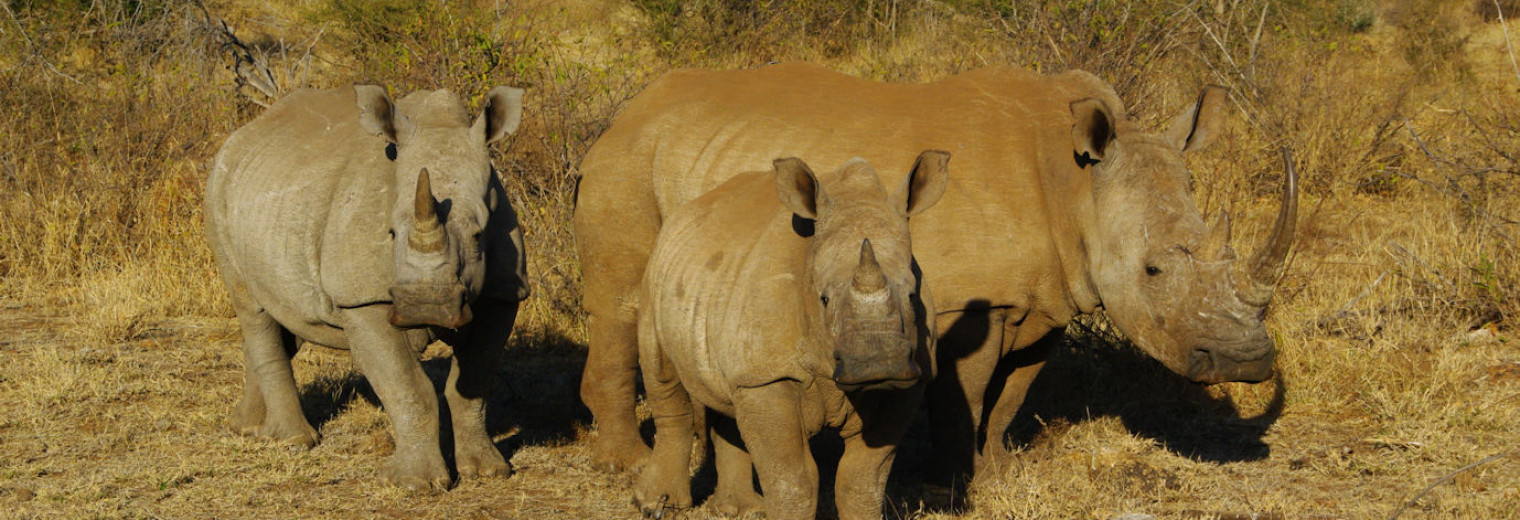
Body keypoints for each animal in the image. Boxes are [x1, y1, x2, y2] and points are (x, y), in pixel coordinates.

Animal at [205, 83, 532, 489]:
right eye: (390, 233)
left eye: (477, 235)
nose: (425, 304)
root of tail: (240, 136)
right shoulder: (361, 299)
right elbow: (407, 386)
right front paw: (415, 484)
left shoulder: (503, 293)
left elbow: (473, 381)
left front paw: (488, 471)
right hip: (216, 195)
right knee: (252, 308)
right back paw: (293, 441)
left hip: (269, 201)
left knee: (285, 316)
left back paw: (246, 428)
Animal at [571, 60, 1295, 474]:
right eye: (1151, 272)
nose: (1248, 361)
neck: (1075, 183)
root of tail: (626, 111)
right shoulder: (966, 303)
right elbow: (966, 397)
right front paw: (956, 482)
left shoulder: (1048, 295)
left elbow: (1013, 394)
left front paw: (1000, 470)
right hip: (627, 163)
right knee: (623, 305)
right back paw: (623, 465)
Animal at [632, 151, 942, 520]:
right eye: (823, 299)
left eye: (911, 295)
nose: (878, 364)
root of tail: (686, 212)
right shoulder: (767, 374)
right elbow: (793, 478)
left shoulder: (911, 379)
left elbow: (863, 478)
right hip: (655, 274)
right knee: (663, 375)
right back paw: (655, 505)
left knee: (728, 396)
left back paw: (741, 509)